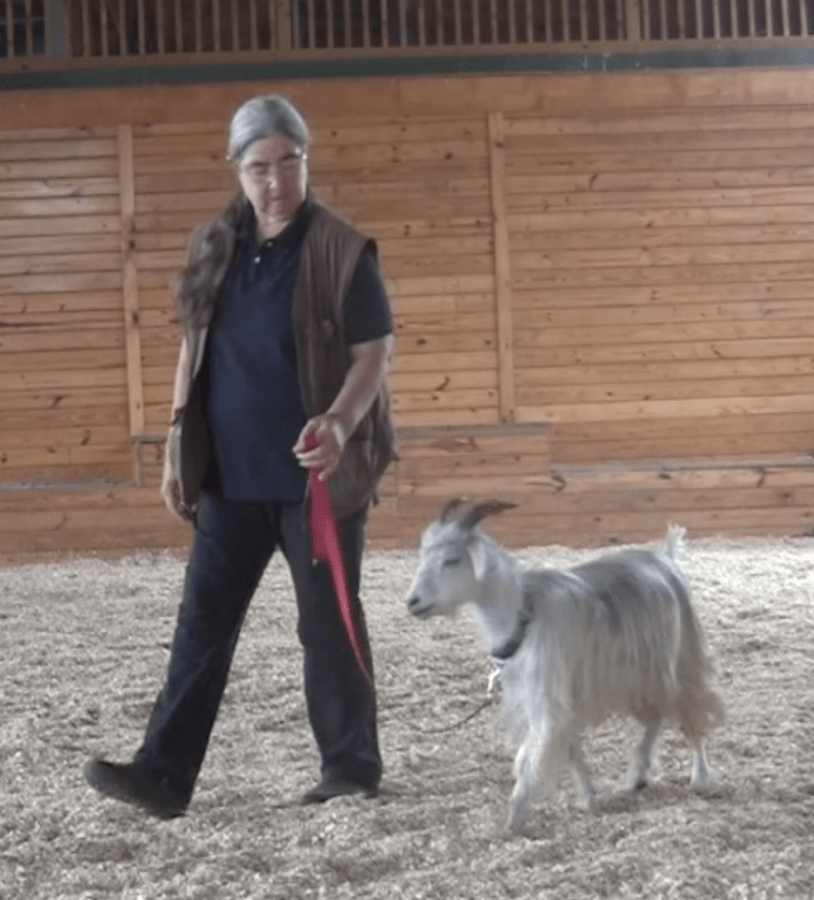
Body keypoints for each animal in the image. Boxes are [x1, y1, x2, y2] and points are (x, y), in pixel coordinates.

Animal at [406, 499, 725, 833]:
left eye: (452, 560)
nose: (413, 602)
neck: (525, 615)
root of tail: (665, 558)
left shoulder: (550, 699)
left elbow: (529, 759)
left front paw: (512, 821)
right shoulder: (552, 697)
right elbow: (568, 748)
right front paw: (588, 797)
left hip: (683, 656)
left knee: (693, 709)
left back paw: (700, 777)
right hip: (641, 673)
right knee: (656, 715)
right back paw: (638, 776)